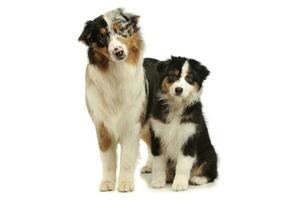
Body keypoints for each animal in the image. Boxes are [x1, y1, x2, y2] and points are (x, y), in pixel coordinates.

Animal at [78, 9, 145, 192]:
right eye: (101, 37)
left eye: (121, 30)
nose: (118, 51)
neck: (116, 73)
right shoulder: (102, 126)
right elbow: (108, 160)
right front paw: (107, 182)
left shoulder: (132, 125)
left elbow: (127, 158)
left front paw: (125, 183)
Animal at [147, 55, 216, 191]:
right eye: (172, 76)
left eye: (189, 78)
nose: (178, 89)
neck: (176, 105)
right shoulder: (158, 135)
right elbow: (158, 163)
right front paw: (158, 181)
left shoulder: (189, 138)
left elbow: (183, 166)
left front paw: (179, 184)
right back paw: (168, 176)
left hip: (210, 153)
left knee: (212, 173)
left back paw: (197, 179)